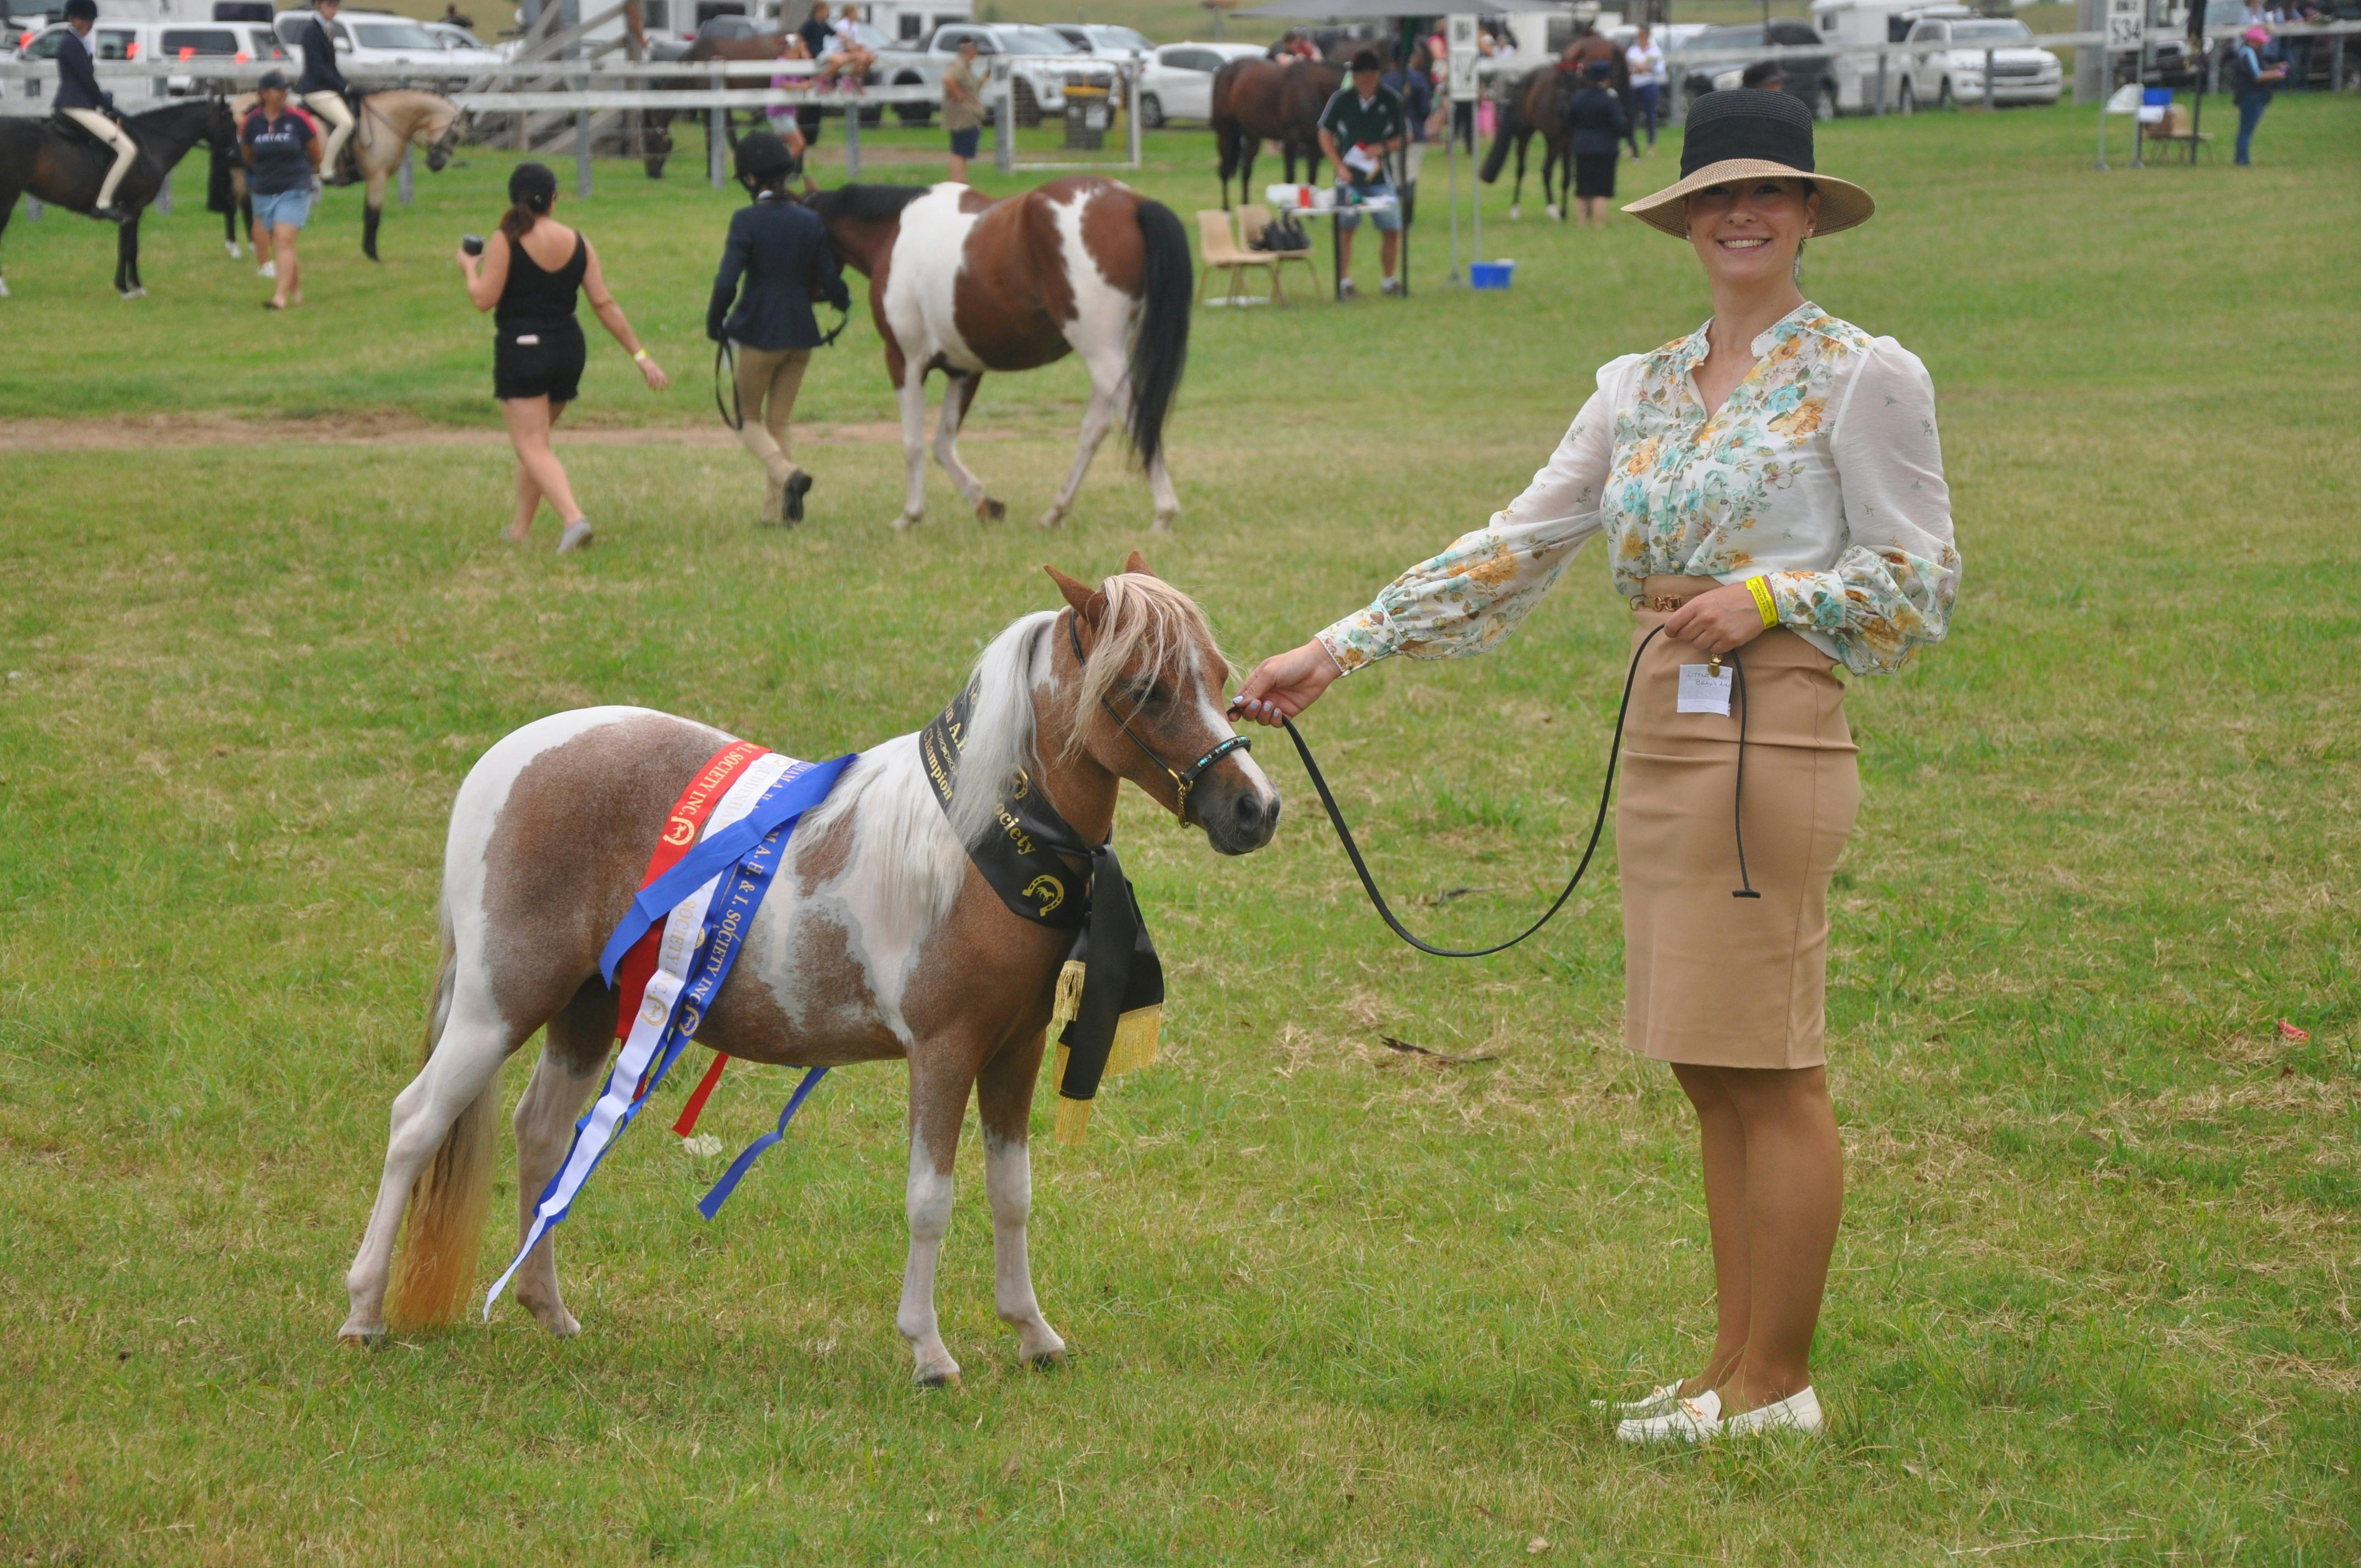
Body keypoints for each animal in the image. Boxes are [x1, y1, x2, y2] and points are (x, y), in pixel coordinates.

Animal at [0, 97, 237, 298]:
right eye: (229, 124)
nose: (235, 154)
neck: (151, 145)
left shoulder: (127, 211)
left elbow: (127, 246)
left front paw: (129, 286)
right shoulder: (134, 207)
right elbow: (129, 248)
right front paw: (130, 289)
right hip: (7, 200)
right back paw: (4, 290)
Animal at [336, 558, 1282, 1386]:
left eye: (1217, 674)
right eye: (1145, 687)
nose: (1256, 808)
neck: (980, 847)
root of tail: (503, 764)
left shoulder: (1011, 1055)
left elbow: (1011, 1192)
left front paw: (1033, 1334)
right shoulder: (944, 1055)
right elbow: (931, 1199)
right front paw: (929, 1352)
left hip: (588, 1009)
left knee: (540, 1133)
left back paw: (550, 1310)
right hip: (500, 1005)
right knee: (415, 1123)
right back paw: (364, 1313)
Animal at [809, 180, 1192, 533]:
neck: (895, 232)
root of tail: (1134, 204)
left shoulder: (905, 361)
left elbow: (913, 443)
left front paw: (910, 515)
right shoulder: (963, 370)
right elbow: (942, 444)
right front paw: (985, 503)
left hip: (1101, 352)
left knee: (1136, 416)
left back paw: (1164, 512)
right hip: (1109, 354)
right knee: (1095, 428)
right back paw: (1056, 512)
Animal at [1209, 57, 1342, 211]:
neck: (1313, 88)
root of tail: (1223, 70)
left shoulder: (1314, 142)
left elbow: (1312, 178)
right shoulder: (1291, 139)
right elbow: (1290, 179)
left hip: (1252, 136)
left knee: (1246, 172)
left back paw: (1247, 207)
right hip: (1226, 133)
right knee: (1224, 171)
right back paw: (1226, 210)